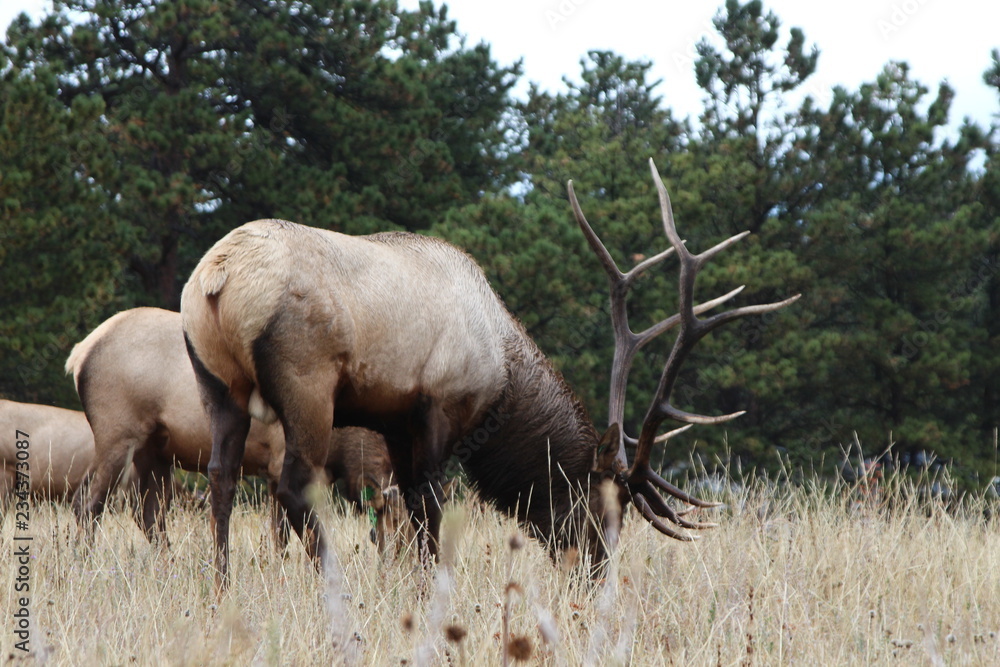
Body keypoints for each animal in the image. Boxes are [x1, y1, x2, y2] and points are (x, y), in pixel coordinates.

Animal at [66, 307, 404, 549]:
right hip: (118, 436)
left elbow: (280, 536)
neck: (342, 448)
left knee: (149, 515)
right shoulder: (283, 458)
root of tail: (78, 355)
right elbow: (291, 533)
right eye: (397, 529)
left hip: (155, 450)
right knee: (88, 504)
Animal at [180, 159, 798, 586]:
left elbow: (409, 512)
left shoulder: (394, 422)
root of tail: (217, 277)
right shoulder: (438, 408)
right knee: (291, 486)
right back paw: (333, 584)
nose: (593, 574)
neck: (503, 375)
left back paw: (222, 587)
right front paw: (432, 589)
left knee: (220, 477)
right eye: (603, 508)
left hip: (216, 384)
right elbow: (428, 512)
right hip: (307, 383)